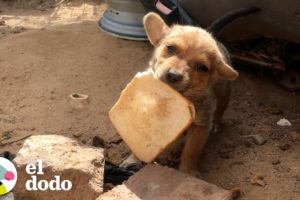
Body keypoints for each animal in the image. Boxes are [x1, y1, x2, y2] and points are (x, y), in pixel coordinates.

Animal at [122, 11, 239, 176]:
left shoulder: (200, 126)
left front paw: (188, 171)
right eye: (171, 48)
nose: (173, 75)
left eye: (202, 67)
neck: (179, 95)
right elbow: (137, 140)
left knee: (220, 108)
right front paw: (133, 159)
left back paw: (216, 123)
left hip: (224, 91)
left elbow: (190, 151)